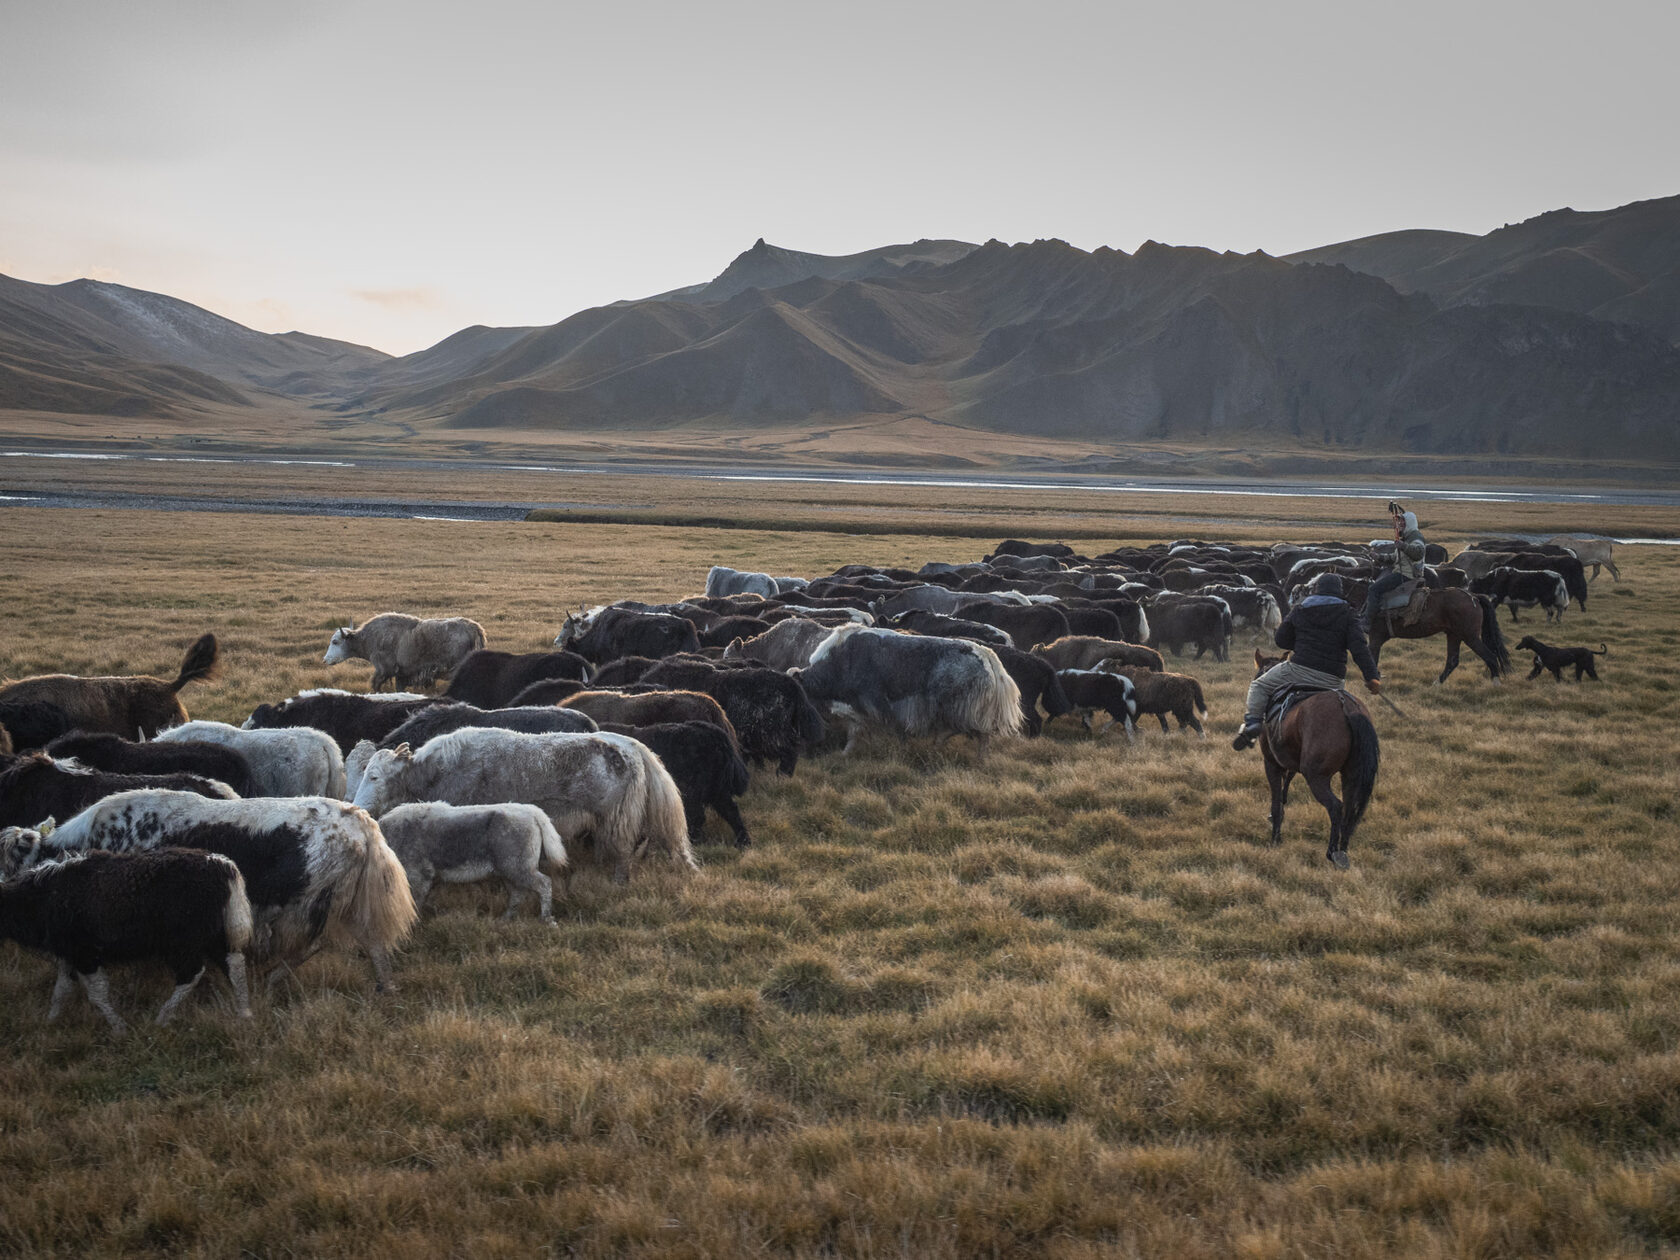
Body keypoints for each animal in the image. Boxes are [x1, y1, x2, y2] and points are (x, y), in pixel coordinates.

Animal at [1256, 651, 1384, 866]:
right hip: (1350, 776)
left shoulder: (1271, 763)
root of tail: (1347, 707)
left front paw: (1275, 837)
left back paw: (1332, 852)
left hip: (1316, 777)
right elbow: (1286, 784)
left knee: (1336, 807)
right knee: (1350, 809)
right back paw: (1343, 850)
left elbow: (1276, 799)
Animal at [1364, 588, 1512, 685]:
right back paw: (1437, 684)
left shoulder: (1375, 637)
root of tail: (1474, 597)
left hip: (1470, 637)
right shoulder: (1375, 639)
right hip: (1454, 636)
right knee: (1452, 661)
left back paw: (1496, 684)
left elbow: (1371, 658)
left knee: (1490, 657)